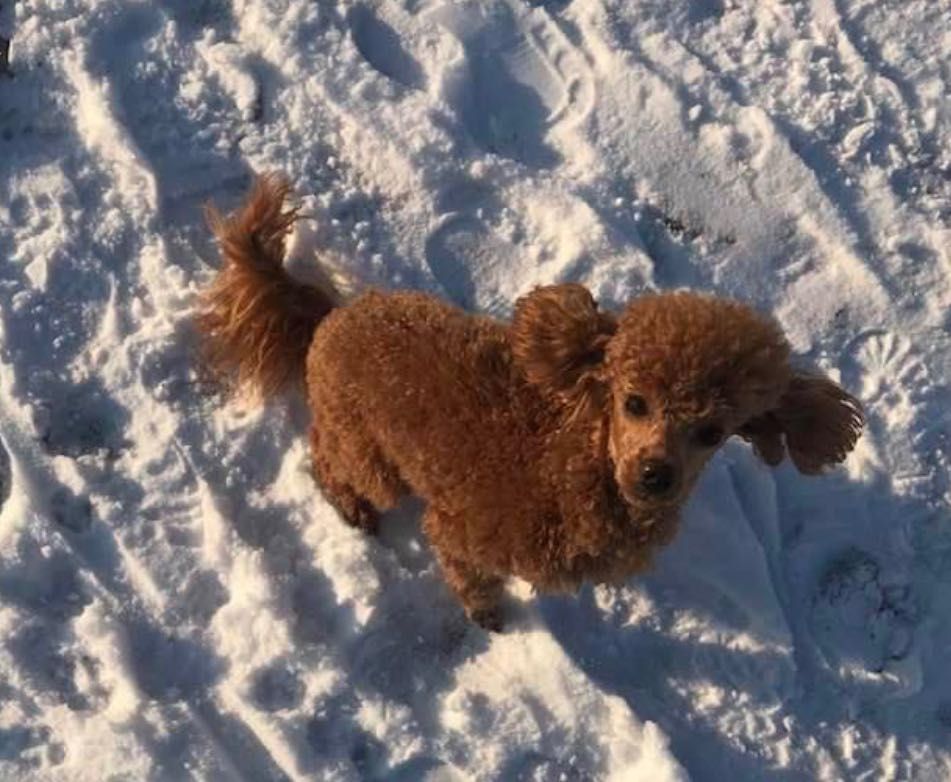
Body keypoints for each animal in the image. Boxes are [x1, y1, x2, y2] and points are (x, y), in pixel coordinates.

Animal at [197, 176, 868, 632]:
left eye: (713, 432)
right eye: (634, 402)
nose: (655, 476)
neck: (575, 463)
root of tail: (332, 315)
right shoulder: (460, 532)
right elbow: (470, 577)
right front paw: (486, 616)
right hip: (368, 450)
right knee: (330, 455)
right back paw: (351, 505)